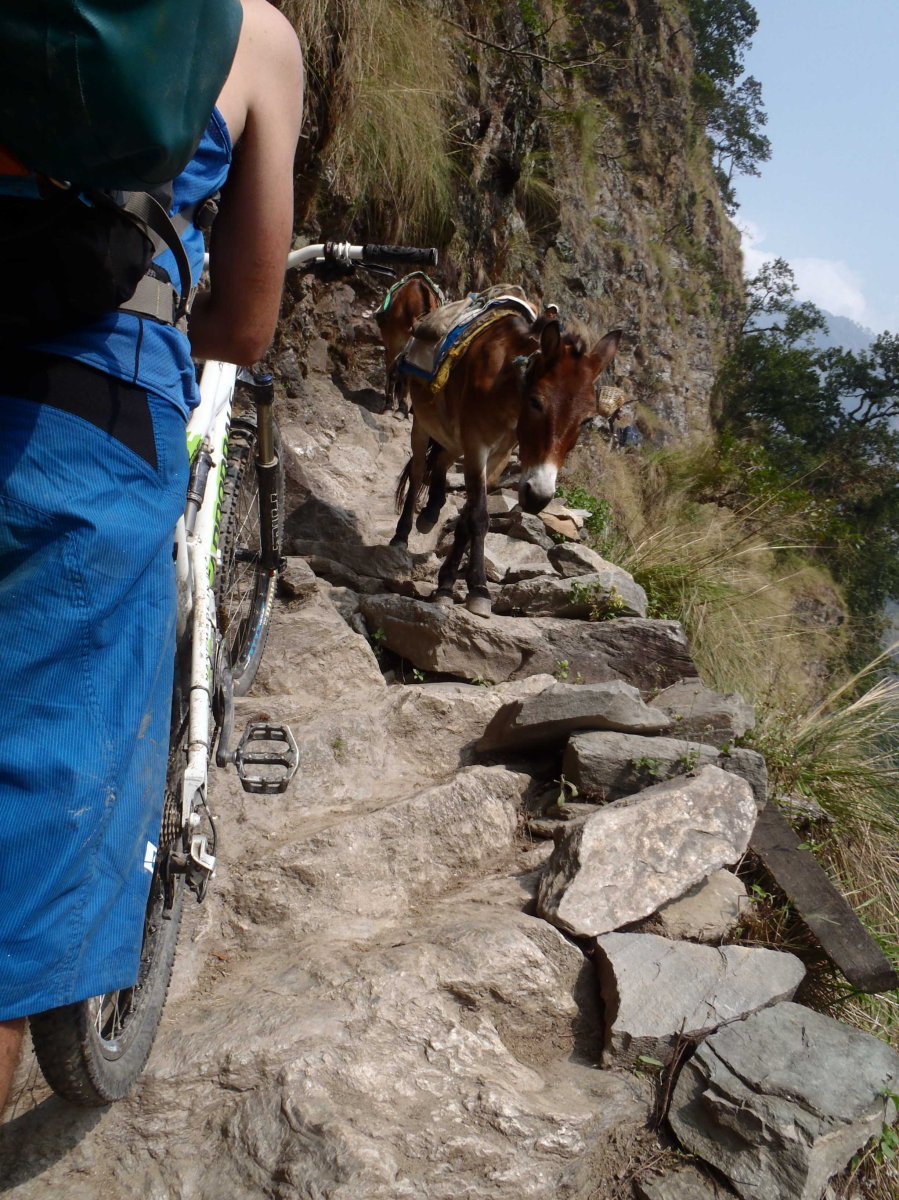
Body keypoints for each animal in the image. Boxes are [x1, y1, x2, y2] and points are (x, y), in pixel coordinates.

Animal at [373, 272, 443, 417]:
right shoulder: (395, 343)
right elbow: (394, 373)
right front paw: (389, 407)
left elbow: (407, 377)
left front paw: (403, 409)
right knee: (389, 368)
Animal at [390, 307, 623, 617]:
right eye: (535, 402)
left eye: (586, 421)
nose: (538, 497)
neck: (506, 384)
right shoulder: (476, 446)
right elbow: (478, 516)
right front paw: (478, 589)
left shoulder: (499, 456)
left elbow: (466, 517)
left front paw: (446, 584)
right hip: (423, 424)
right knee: (417, 473)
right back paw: (401, 535)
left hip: (453, 438)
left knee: (439, 463)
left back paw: (431, 512)